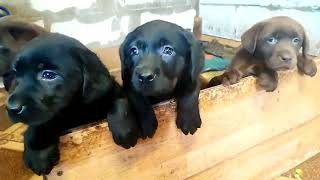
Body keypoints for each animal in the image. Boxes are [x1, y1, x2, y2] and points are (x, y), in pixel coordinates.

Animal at [5, 33, 139, 175]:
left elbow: (119, 101)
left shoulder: (113, 90)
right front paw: (38, 151)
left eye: (49, 75)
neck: (73, 109)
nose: (11, 108)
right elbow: (39, 123)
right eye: (16, 73)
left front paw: (124, 130)